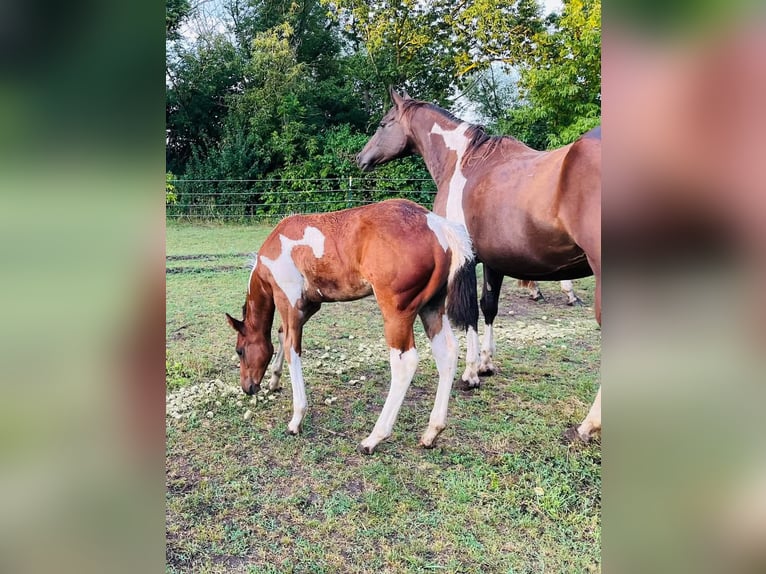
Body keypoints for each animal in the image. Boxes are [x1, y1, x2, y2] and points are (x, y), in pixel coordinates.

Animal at [225, 200, 476, 456]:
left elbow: (290, 348)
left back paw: (373, 438)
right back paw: (431, 432)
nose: (248, 387)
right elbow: (281, 334)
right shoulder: (310, 305)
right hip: (432, 307)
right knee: (447, 353)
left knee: (405, 363)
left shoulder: (289, 301)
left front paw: (296, 419)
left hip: (397, 313)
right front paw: (275, 381)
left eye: (239, 351)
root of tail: (439, 226)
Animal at [356, 90, 604, 444]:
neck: (464, 163)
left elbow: (469, 312)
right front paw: (486, 364)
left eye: (383, 123)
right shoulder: (494, 261)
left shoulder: (468, 260)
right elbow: (488, 307)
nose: (360, 158)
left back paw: (589, 424)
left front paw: (471, 372)